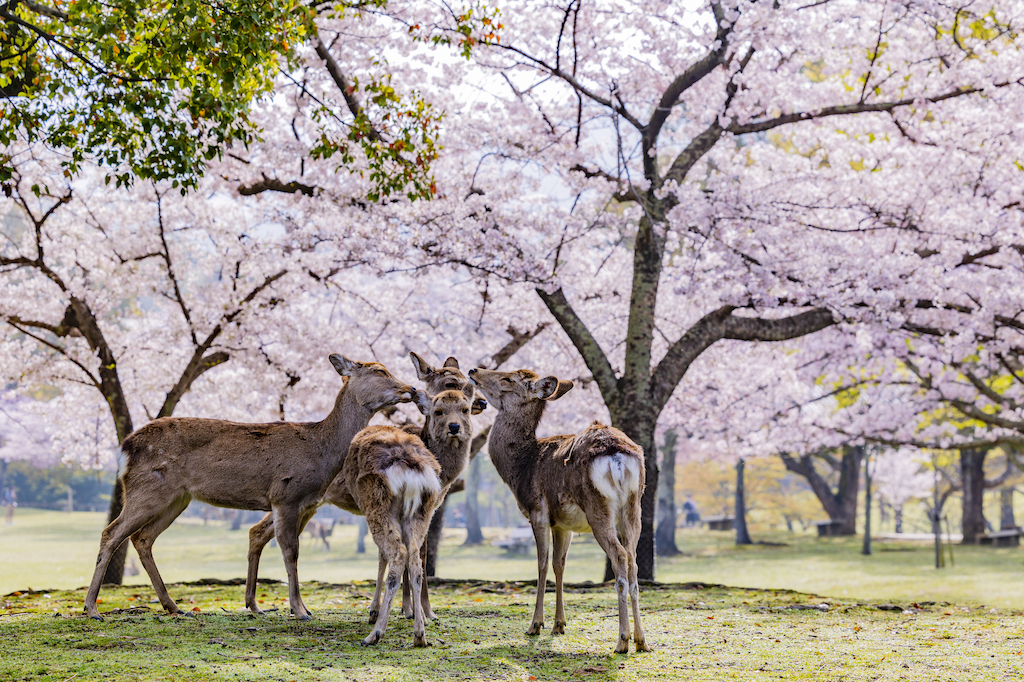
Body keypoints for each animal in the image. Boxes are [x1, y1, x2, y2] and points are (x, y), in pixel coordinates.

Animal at [82, 356, 411, 622]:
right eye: (380, 370)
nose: (410, 389)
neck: (321, 451)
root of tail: (124, 449)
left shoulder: (305, 503)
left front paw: (286, 607)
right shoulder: (286, 496)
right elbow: (291, 551)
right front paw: (300, 610)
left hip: (177, 498)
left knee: (142, 537)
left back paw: (174, 606)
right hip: (147, 489)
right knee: (111, 532)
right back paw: (92, 609)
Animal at [468, 366, 651, 655]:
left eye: (508, 378)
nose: (474, 370)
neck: (520, 467)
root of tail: (618, 456)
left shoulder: (537, 511)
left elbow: (542, 564)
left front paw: (535, 625)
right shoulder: (564, 525)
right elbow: (560, 565)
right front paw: (559, 625)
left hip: (597, 505)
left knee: (619, 556)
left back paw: (622, 640)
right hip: (634, 506)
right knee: (632, 559)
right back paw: (641, 640)